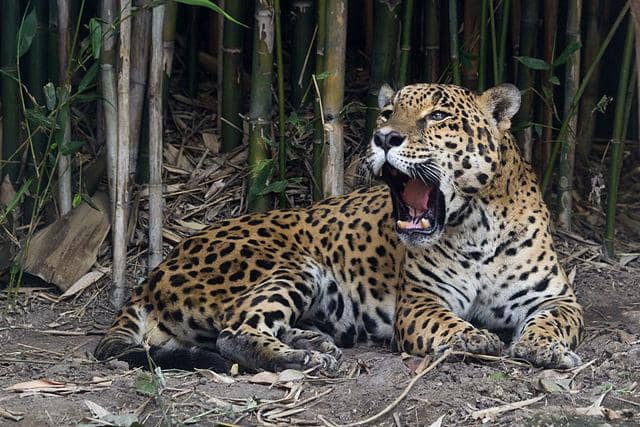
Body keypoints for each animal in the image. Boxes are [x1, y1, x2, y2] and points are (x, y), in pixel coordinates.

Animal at [94, 83, 583, 373]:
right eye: (387, 112)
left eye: (438, 116)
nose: (384, 138)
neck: (475, 226)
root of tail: (152, 275)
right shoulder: (421, 303)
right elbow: (449, 324)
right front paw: (476, 337)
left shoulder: (556, 297)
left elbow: (552, 321)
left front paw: (542, 347)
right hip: (291, 266)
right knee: (235, 333)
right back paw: (309, 356)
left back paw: (315, 339)